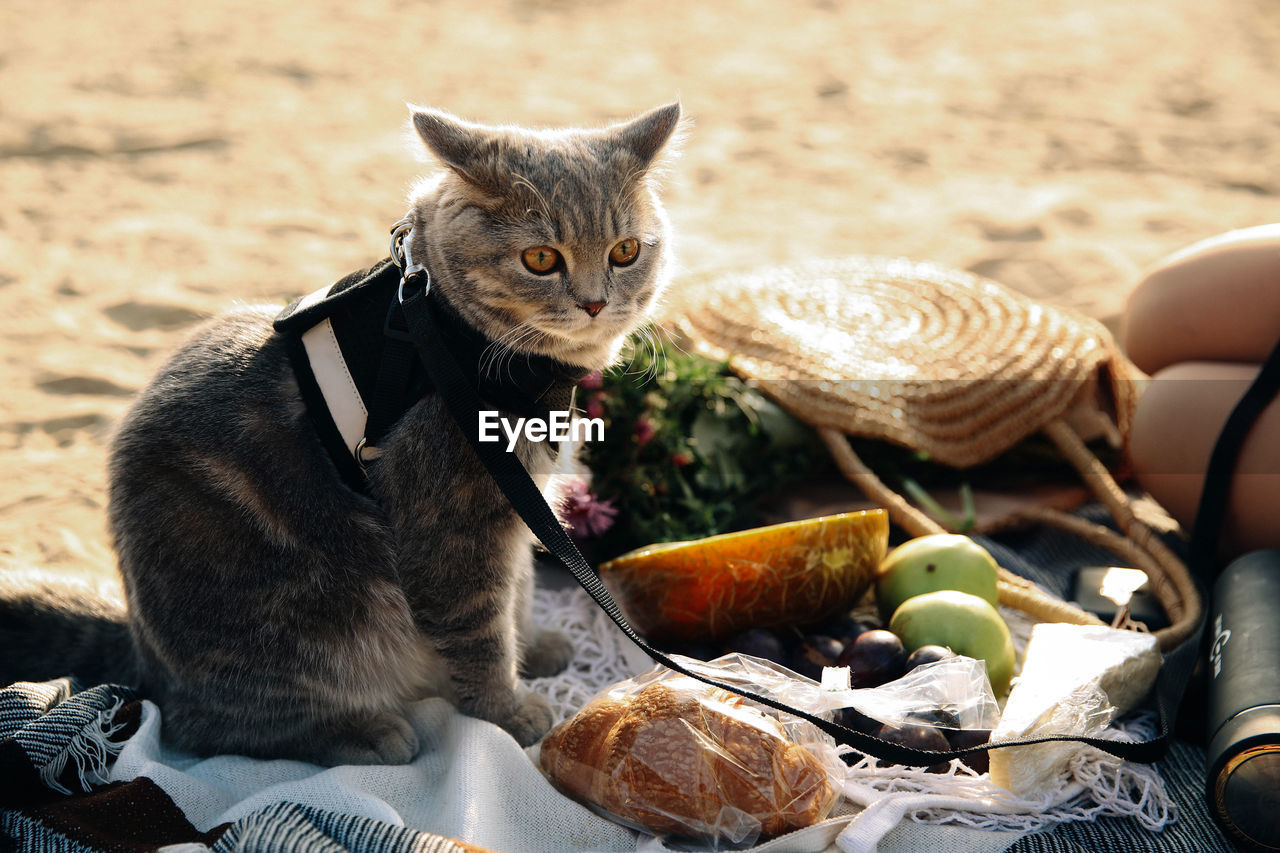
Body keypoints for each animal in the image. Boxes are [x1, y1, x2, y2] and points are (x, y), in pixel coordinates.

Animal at [2, 101, 691, 763]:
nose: (595, 302)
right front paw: (507, 710)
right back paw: (363, 732)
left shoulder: (518, 510)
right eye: (541, 258)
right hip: (312, 617)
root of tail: (144, 653)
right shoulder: (454, 529)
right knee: (206, 727)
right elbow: (480, 632)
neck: (450, 335)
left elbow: (518, 590)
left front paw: (537, 645)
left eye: (625, 251)